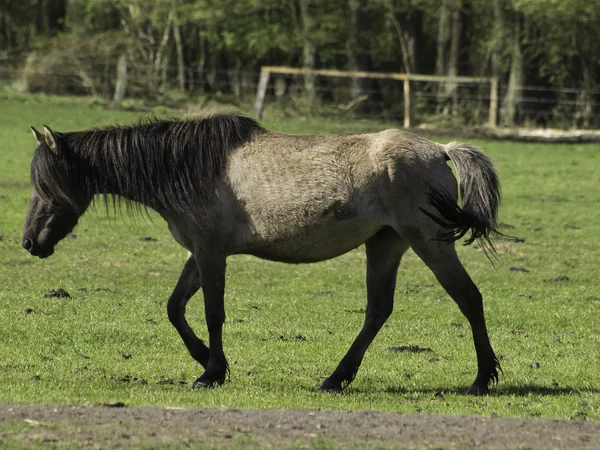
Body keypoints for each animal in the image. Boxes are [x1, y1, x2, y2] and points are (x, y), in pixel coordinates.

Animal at [23, 115, 502, 394]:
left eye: (47, 185)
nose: (30, 241)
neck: (187, 164)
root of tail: (440, 150)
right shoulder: (199, 252)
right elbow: (175, 307)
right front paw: (204, 358)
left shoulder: (211, 252)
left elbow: (212, 312)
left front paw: (211, 372)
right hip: (385, 244)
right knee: (378, 310)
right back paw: (336, 379)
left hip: (429, 242)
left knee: (469, 298)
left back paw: (482, 379)